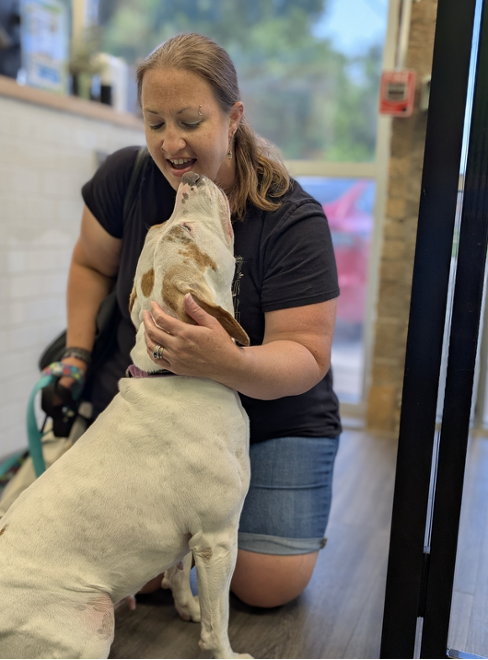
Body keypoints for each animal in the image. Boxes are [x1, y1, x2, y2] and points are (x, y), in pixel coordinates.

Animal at [0, 172, 253, 659]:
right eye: (185, 231)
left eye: (162, 229)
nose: (191, 177)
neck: (172, 375)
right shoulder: (217, 538)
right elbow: (218, 623)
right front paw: (226, 651)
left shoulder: (190, 540)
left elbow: (179, 574)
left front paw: (187, 608)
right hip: (90, 625)